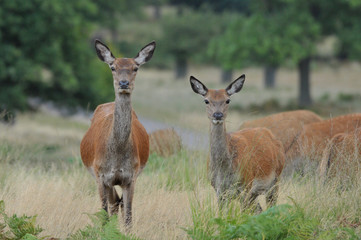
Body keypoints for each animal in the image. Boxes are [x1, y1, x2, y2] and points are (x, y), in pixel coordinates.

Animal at [80, 39, 155, 227]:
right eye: (113, 67)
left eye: (135, 68)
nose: (123, 84)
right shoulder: (100, 175)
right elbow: (103, 214)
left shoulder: (131, 177)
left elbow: (128, 217)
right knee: (113, 203)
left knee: (117, 203)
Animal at [188, 75, 284, 210]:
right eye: (206, 100)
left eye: (228, 100)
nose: (218, 115)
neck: (224, 171)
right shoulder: (218, 189)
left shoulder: (246, 184)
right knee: (259, 209)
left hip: (275, 179)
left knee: (270, 206)